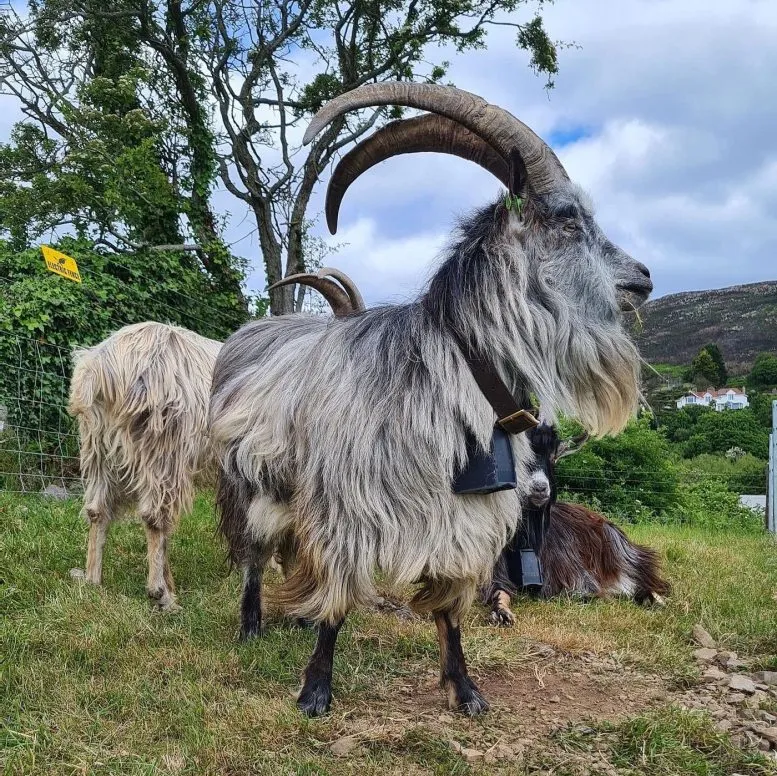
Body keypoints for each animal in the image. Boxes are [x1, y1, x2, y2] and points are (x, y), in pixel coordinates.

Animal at [67, 270, 361, 610]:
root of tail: (103, 370)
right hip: (162, 448)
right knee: (155, 515)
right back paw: (162, 594)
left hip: (98, 448)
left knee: (98, 509)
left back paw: (94, 579)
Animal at [484, 422, 670, 626]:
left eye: (554, 456)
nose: (540, 488)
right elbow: (499, 591)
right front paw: (501, 612)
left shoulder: (575, 576)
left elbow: (579, 591)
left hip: (623, 553)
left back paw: (654, 599)